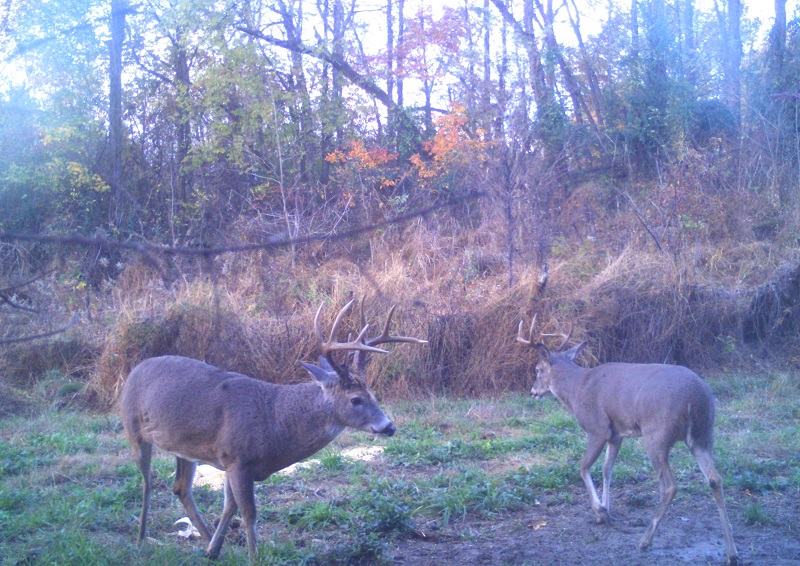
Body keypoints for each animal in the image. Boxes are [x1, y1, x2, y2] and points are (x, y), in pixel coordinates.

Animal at [118, 302, 424, 564]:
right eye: (356, 399)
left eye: (373, 393)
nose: (389, 426)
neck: (274, 420)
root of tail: (134, 370)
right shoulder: (237, 458)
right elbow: (249, 513)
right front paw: (255, 557)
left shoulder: (230, 461)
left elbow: (229, 507)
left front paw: (213, 550)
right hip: (133, 429)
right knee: (146, 481)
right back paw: (142, 538)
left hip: (184, 448)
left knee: (180, 487)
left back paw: (204, 538)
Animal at [520, 318, 736, 564]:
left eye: (538, 369)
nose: (533, 391)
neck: (576, 390)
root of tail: (697, 396)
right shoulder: (617, 435)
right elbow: (607, 469)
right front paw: (605, 511)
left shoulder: (597, 428)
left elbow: (583, 468)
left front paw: (600, 511)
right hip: (704, 433)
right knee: (715, 479)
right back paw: (731, 552)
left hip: (657, 434)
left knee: (669, 486)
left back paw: (644, 540)